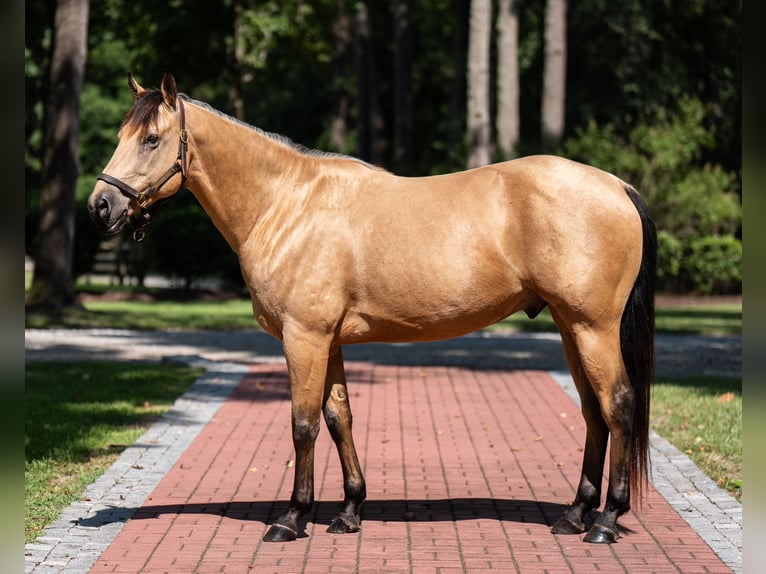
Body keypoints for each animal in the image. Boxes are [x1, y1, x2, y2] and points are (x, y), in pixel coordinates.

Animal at [88, 73, 656, 545]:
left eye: (151, 139)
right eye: (121, 133)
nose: (100, 206)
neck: (286, 205)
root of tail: (617, 185)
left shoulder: (304, 337)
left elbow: (303, 424)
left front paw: (291, 519)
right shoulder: (329, 340)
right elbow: (339, 418)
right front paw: (348, 512)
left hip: (592, 327)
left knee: (618, 404)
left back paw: (606, 521)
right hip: (569, 327)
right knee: (593, 412)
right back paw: (575, 515)